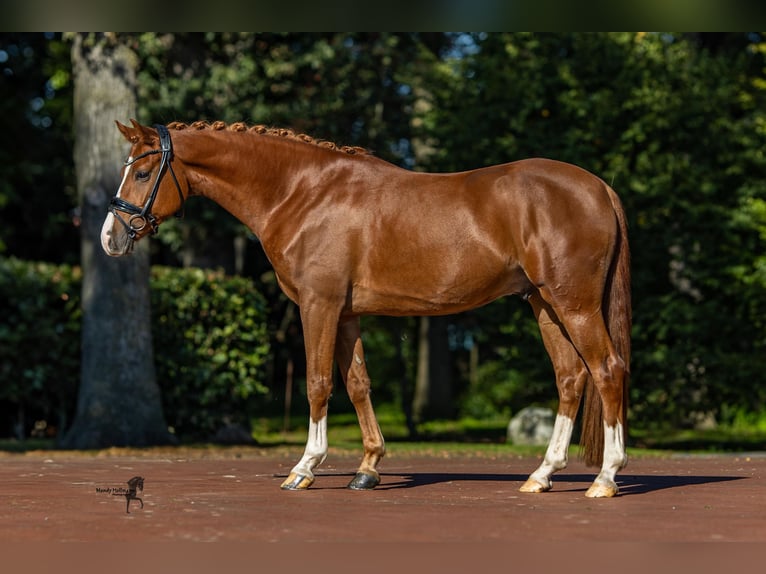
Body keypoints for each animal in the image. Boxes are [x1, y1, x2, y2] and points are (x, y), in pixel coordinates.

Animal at [100, 120, 632, 500]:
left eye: (142, 172)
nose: (110, 238)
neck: (303, 193)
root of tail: (599, 187)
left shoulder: (319, 305)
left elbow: (318, 382)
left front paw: (304, 468)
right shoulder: (347, 314)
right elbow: (357, 383)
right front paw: (368, 468)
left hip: (574, 305)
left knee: (607, 369)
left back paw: (605, 478)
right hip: (545, 305)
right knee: (571, 378)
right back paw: (542, 474)